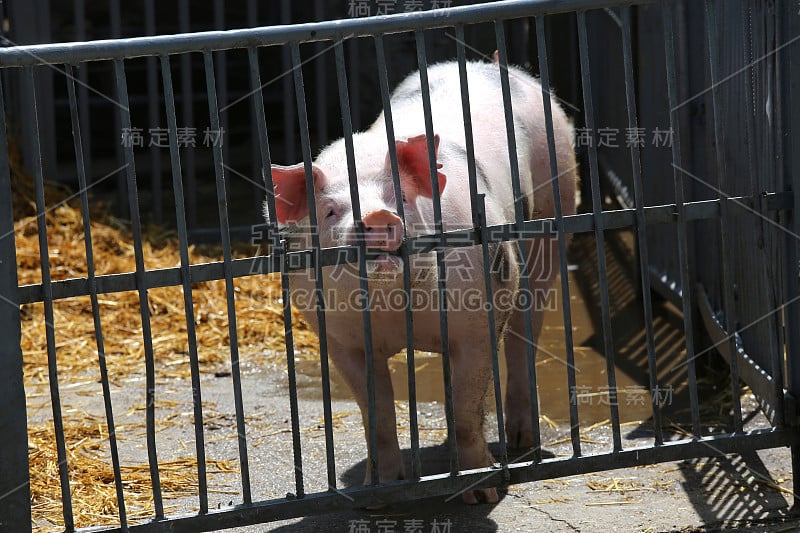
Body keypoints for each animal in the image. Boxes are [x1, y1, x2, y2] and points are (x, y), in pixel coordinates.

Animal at [268, 59, 576, 502]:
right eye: (329, 210)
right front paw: (378, 493)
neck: (392, 306)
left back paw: (522, 442)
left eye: (400, 199)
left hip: (553, 212)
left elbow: (467, 407)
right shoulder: (339, 338)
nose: (377, 217)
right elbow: (376, 413)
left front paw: (481, 495)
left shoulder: (480, 317)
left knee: (524, 336)